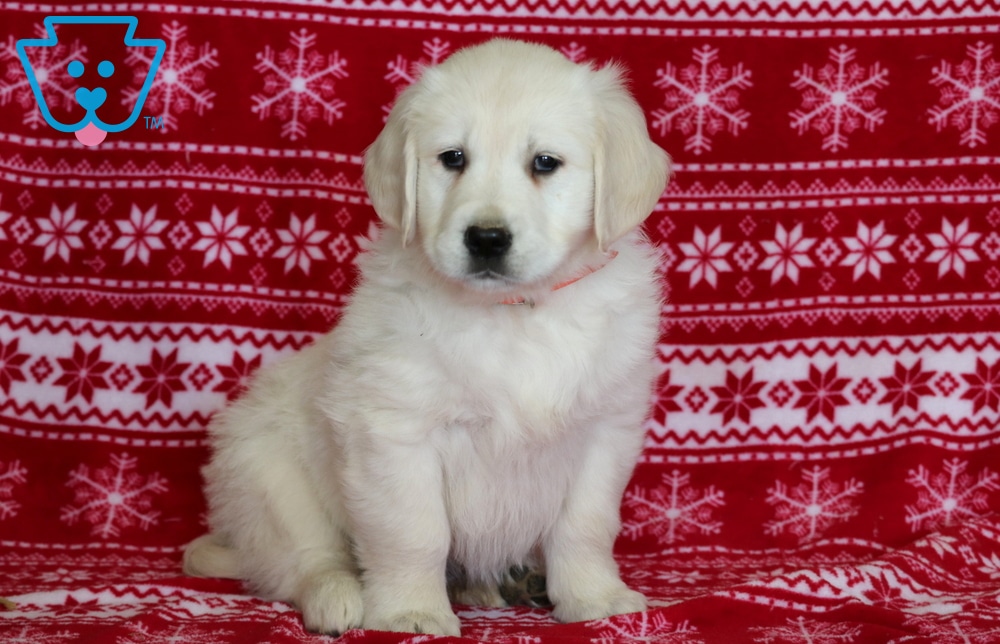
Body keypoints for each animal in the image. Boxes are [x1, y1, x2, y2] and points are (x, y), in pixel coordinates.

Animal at [183, 38, 670, 637]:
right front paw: (409, 611)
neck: (512, 313)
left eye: (545, 163)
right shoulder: (395, 431)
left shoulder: (604, 430)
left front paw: (595, 598)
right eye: (453, 158)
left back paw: (512, 581)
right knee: (305, 558)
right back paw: (338, 598)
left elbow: (585, 526)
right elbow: (414, 533)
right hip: (269, 476)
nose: (486, 239)